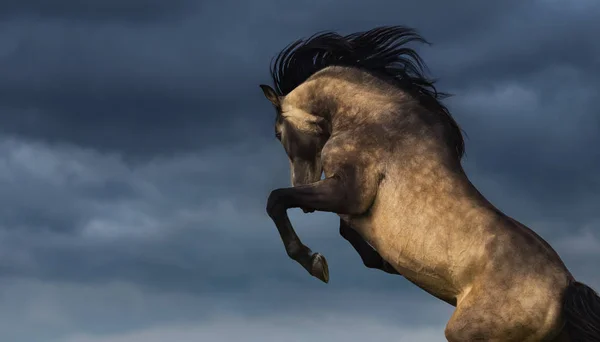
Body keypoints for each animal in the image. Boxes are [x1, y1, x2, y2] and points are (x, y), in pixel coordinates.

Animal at [258, 25, 600, 340]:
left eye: (277, 133)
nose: (301, 180)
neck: (372, 119)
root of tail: (567, 288)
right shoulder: (351, 202)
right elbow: (345, 228)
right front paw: (380, 262)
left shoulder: (348, 191)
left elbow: (277, 200)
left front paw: (314, 263)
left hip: (466, 333)